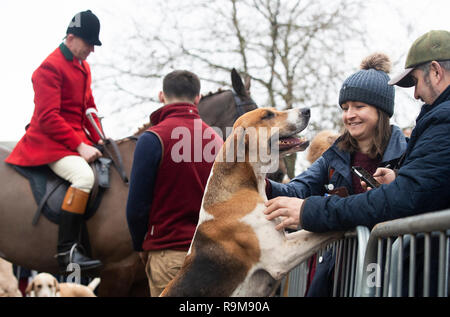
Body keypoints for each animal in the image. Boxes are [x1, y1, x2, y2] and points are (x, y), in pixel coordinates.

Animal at [160, 107, 342, 296]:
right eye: (267, 115)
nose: (306, 110)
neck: (240, 190)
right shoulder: (281, 254)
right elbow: (322, 233)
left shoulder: (284, 241)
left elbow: (312, 231)